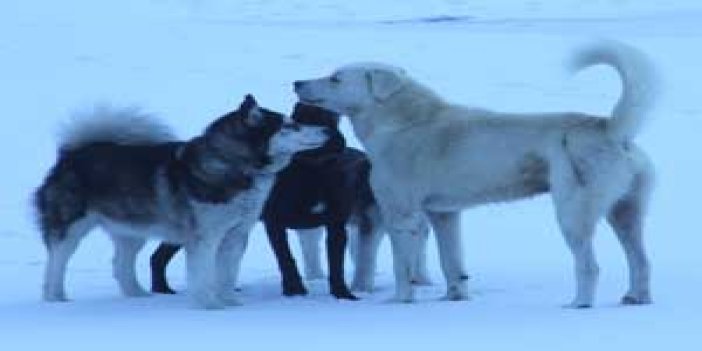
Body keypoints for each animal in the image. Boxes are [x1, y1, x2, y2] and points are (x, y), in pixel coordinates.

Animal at [150, 103, 380, 302]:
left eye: (334, 119)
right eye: (298, 118)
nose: (332, 137)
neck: (312, 172)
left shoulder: (336, 226)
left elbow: (336, 263)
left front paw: (343, 294)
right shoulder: (275, 223)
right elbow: (286, 258)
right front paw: (294, 289)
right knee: (158, 258)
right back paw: (163, 290)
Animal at [296, 42, 660, 308]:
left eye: (335, 77)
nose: (296, 82)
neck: (402, 123)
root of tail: (611, 129)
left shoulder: (401, 215)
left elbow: (403, 267)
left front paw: (400, 301)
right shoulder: (444, 214)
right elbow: (451, 262)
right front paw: (454, 298)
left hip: (573, 212)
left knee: (589, 265)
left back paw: (578, 304)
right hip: (626, 212)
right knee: (641, 260)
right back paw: (636, 298)